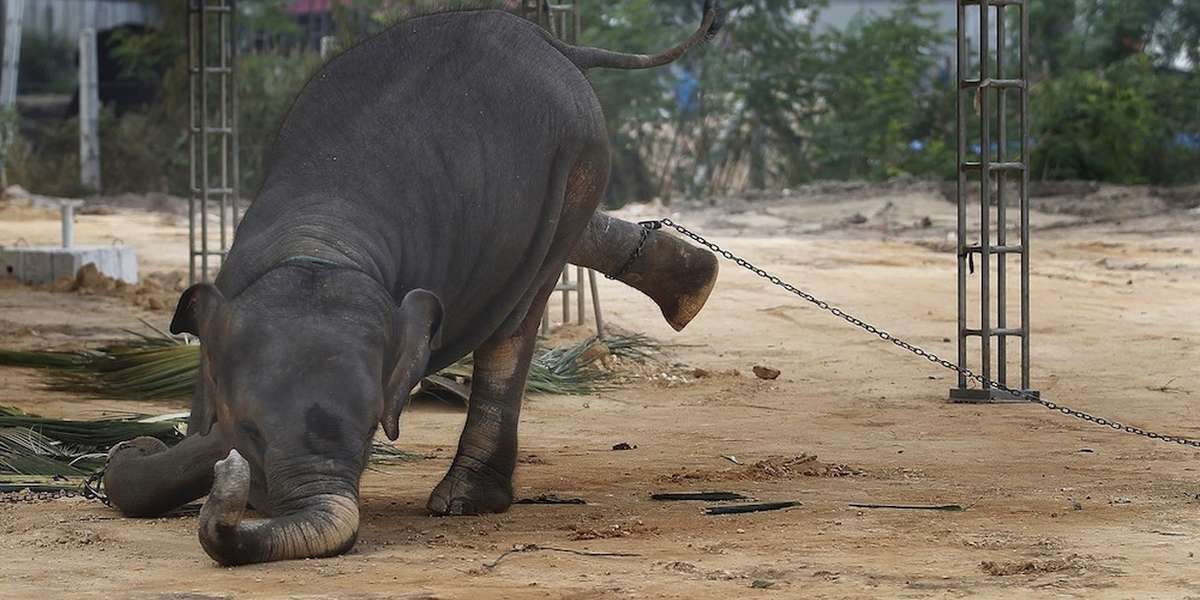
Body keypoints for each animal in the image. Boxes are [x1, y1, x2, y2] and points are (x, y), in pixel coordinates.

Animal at [100, 0, 720, 564]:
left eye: (372, 430)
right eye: (248, 430)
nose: (239, 485)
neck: (321, 247)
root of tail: (554, 42)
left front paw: (149, 453)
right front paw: (143, 451)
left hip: (577, 169)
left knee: (516, 324)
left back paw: (462, 501)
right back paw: (695, 287)